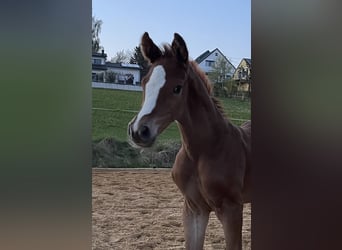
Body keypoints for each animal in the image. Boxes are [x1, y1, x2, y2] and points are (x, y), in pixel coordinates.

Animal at [128, 32, 251, 249]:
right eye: (144, 83)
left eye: (177, 88)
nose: (139, 131)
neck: (203, 151)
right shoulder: (194, 209)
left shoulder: (232, 209)